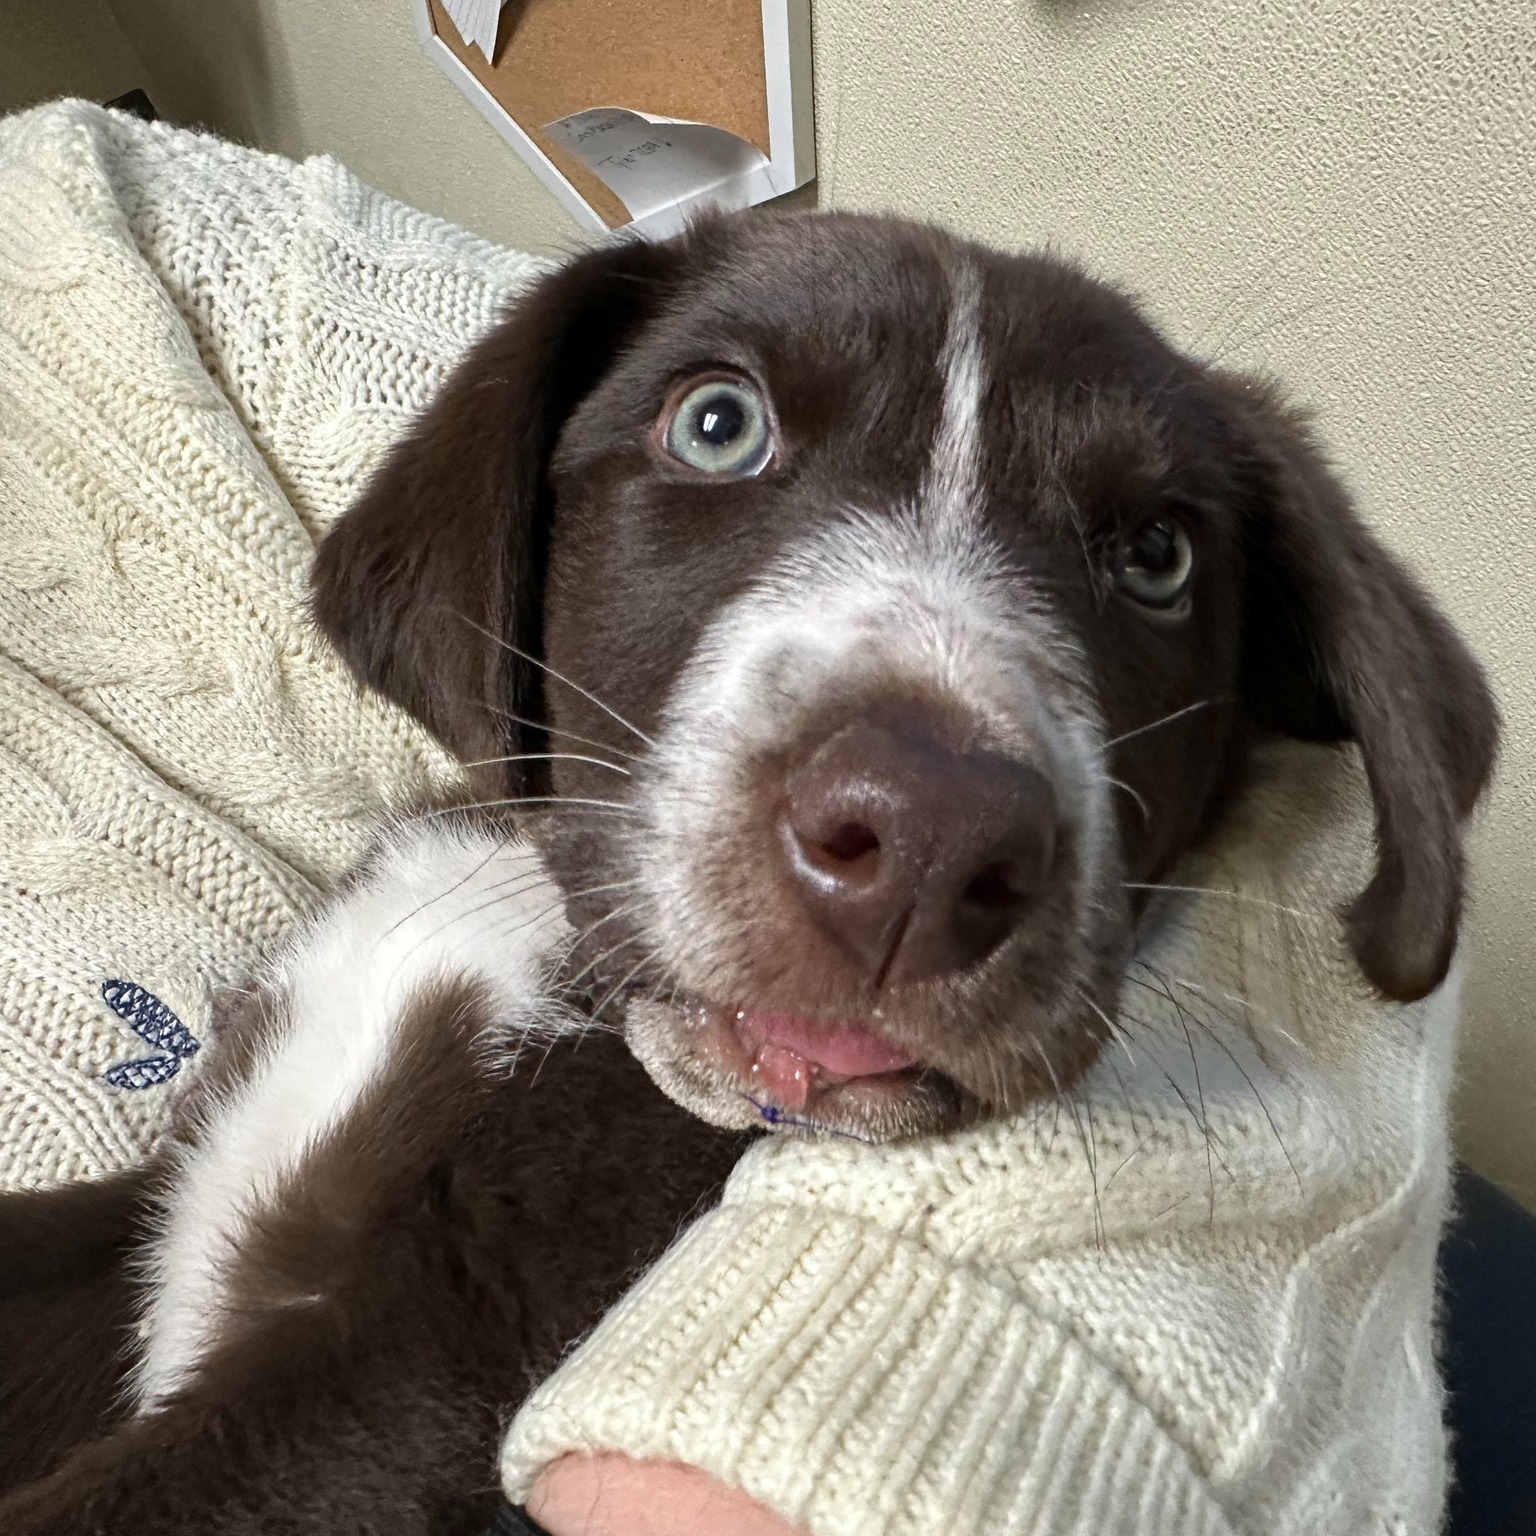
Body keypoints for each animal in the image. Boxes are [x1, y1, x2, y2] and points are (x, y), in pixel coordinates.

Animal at [0, 207, 1492, 1536]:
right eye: (717, 424)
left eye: (1159, 559)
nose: (926, 842)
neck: (526, 902)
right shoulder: (181, 1189)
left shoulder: (429, 1360)